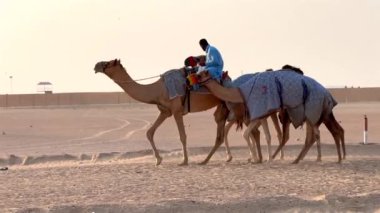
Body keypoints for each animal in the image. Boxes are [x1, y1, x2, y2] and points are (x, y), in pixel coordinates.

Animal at [94, 59, 229, 166]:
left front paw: (184, 161)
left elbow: (182, 136)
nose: (96, 66)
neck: (158, 90)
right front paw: (158, 160)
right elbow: (149, 132)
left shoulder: (176, 110)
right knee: (221, 132)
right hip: (222, 105)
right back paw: (212, 160)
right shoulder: (165, 112)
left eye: (108, 63)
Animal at [197, 70, 346, 163]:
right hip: (312, 113)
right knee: (318, 134)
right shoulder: (261, 115)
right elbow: (263, 135)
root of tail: (327, 93)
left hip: (312, 109)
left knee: (314, 135)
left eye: (205, 72)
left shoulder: (258, 112)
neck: (241, 92)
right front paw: (262, 158)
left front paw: (258, 158)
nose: (196, 77)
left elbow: (248, 134)